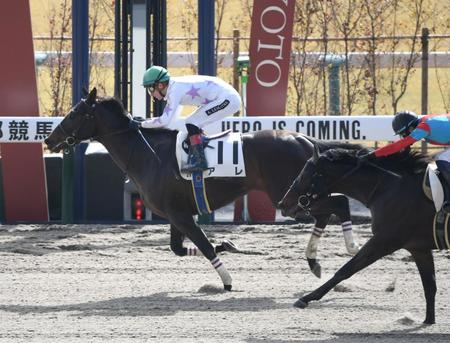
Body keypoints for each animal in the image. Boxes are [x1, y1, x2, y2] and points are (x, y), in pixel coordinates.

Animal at [45, 88, 358, 290]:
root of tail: (305, 139)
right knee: (327, 211)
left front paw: (227, 280)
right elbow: (179, 249)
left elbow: (204, 246)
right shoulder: (176, 213)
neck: (148, 154)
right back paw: (315, 261)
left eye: (74, 114)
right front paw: (227, 245)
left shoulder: (180, 214)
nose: (49, 139)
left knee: (339, 203)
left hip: (288, 197)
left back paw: (350, 246)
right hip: (296, 196)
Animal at [278, 144, 442, 326]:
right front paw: (429, 320)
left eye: (304, 175)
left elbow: (346, 269)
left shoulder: (385, 240)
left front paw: (307, 298)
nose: (282, 204)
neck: (389, 188)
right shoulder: (419, 249)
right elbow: (430, 285)